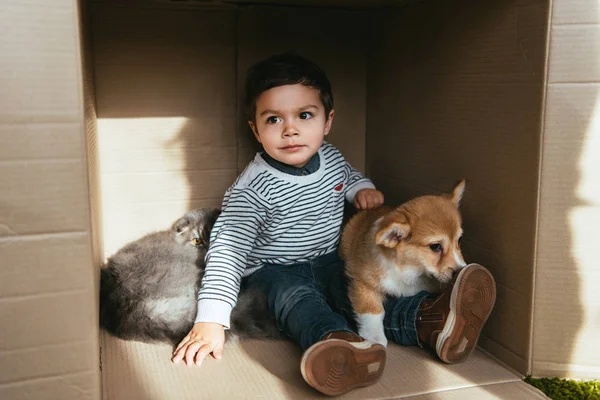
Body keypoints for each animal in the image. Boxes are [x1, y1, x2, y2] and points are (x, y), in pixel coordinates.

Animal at [340, 180, 466, 346]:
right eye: (435, 246)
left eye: (459, 240)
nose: (461, 270)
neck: (409, 270)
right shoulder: (362, 282)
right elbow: (372, 311)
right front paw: (375, 339)